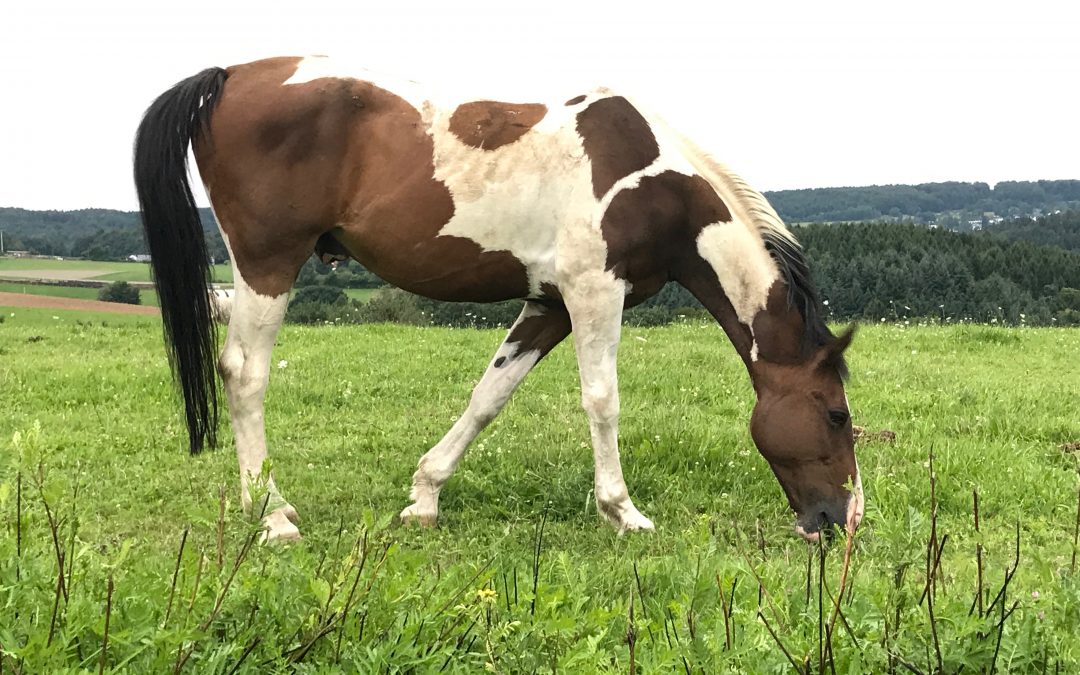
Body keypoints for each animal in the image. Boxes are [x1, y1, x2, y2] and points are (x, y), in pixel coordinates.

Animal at [135, 56, 864, 542]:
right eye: (835, 414)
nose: (843, 519)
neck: (653, 180)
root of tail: (228, 75)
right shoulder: (594, 292)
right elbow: (603, 401)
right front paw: (623, 511)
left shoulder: (550, 306)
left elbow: (489, 396)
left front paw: (424, 497)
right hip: (269, 263)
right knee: (243, 374)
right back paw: (273, 515)